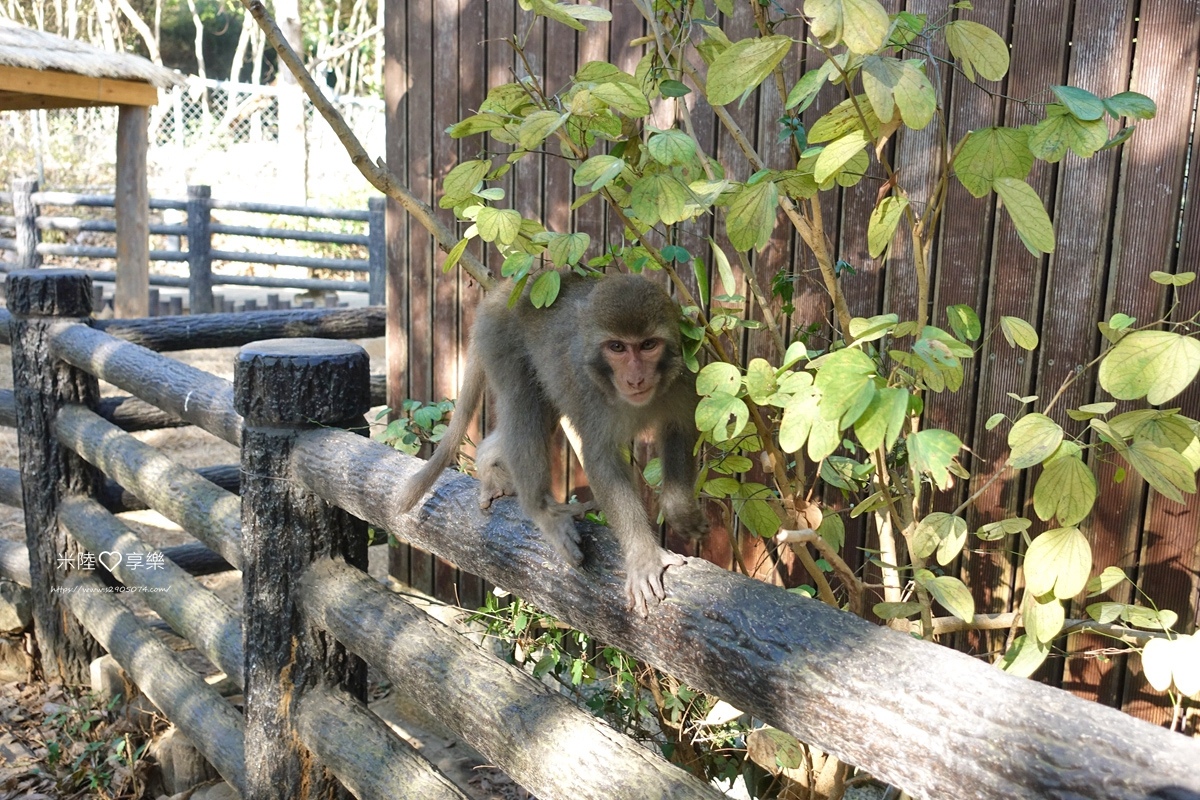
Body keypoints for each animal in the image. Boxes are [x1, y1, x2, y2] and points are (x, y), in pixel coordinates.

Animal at [398, 272, 705, 618]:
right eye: (617, 347)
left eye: (648, 345)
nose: (636, 378)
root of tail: (505, 289)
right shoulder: (589, 392)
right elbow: (600, 460)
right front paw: (643, 557)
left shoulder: (682, 379)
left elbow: (681, 427)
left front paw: (680, 512)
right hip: (500, 339)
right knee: (521, 403)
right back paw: (542, 510)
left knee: (539, 413)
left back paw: (488, 463)